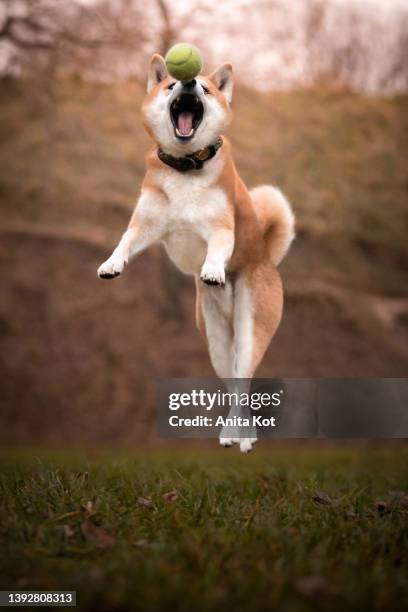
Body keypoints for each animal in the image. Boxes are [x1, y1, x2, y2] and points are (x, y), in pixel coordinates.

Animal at [99, 55, 296, 452]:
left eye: (204, 88)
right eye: (172, 84)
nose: (189, 82)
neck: (185, 168)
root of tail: (266, 257)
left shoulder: (221, 227)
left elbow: (217, 250)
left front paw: (213, 270)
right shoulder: (145, 224)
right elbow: (125, 242)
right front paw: (111, 264)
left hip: (251, 329)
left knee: (245, 380)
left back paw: (246, 439)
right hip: (216, 341)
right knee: (232, 384)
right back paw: (230, 434)